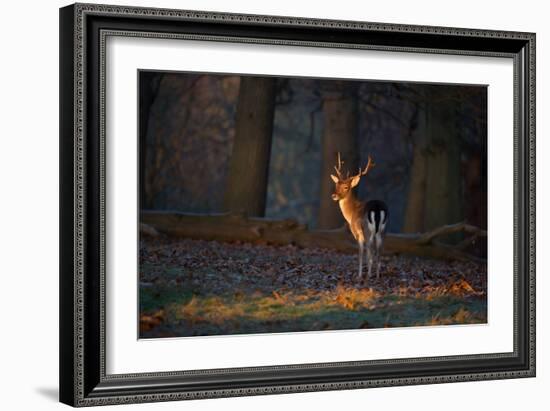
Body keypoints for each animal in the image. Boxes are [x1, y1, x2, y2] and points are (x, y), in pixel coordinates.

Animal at [330, 153, 390, 284]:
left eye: (346, 187)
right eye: (336, 185)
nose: (334, 195)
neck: (351, 212)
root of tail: (377, 208)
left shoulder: (357, 233)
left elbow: (361, 254)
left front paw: (359, 275)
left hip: (367, 230)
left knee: (370, 253)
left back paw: (368, 276)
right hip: (383, 230)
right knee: (379, 253)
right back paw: (377, 276)